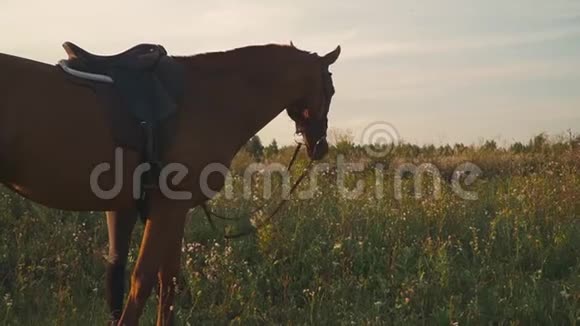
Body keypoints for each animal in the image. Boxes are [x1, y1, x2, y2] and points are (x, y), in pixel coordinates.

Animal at [0, 42, 340, 324]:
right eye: (332, 89)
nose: (319, 146)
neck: (210, 99)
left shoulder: (173, 211)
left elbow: (167, 280)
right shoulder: (168, 207)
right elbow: (143, 280)